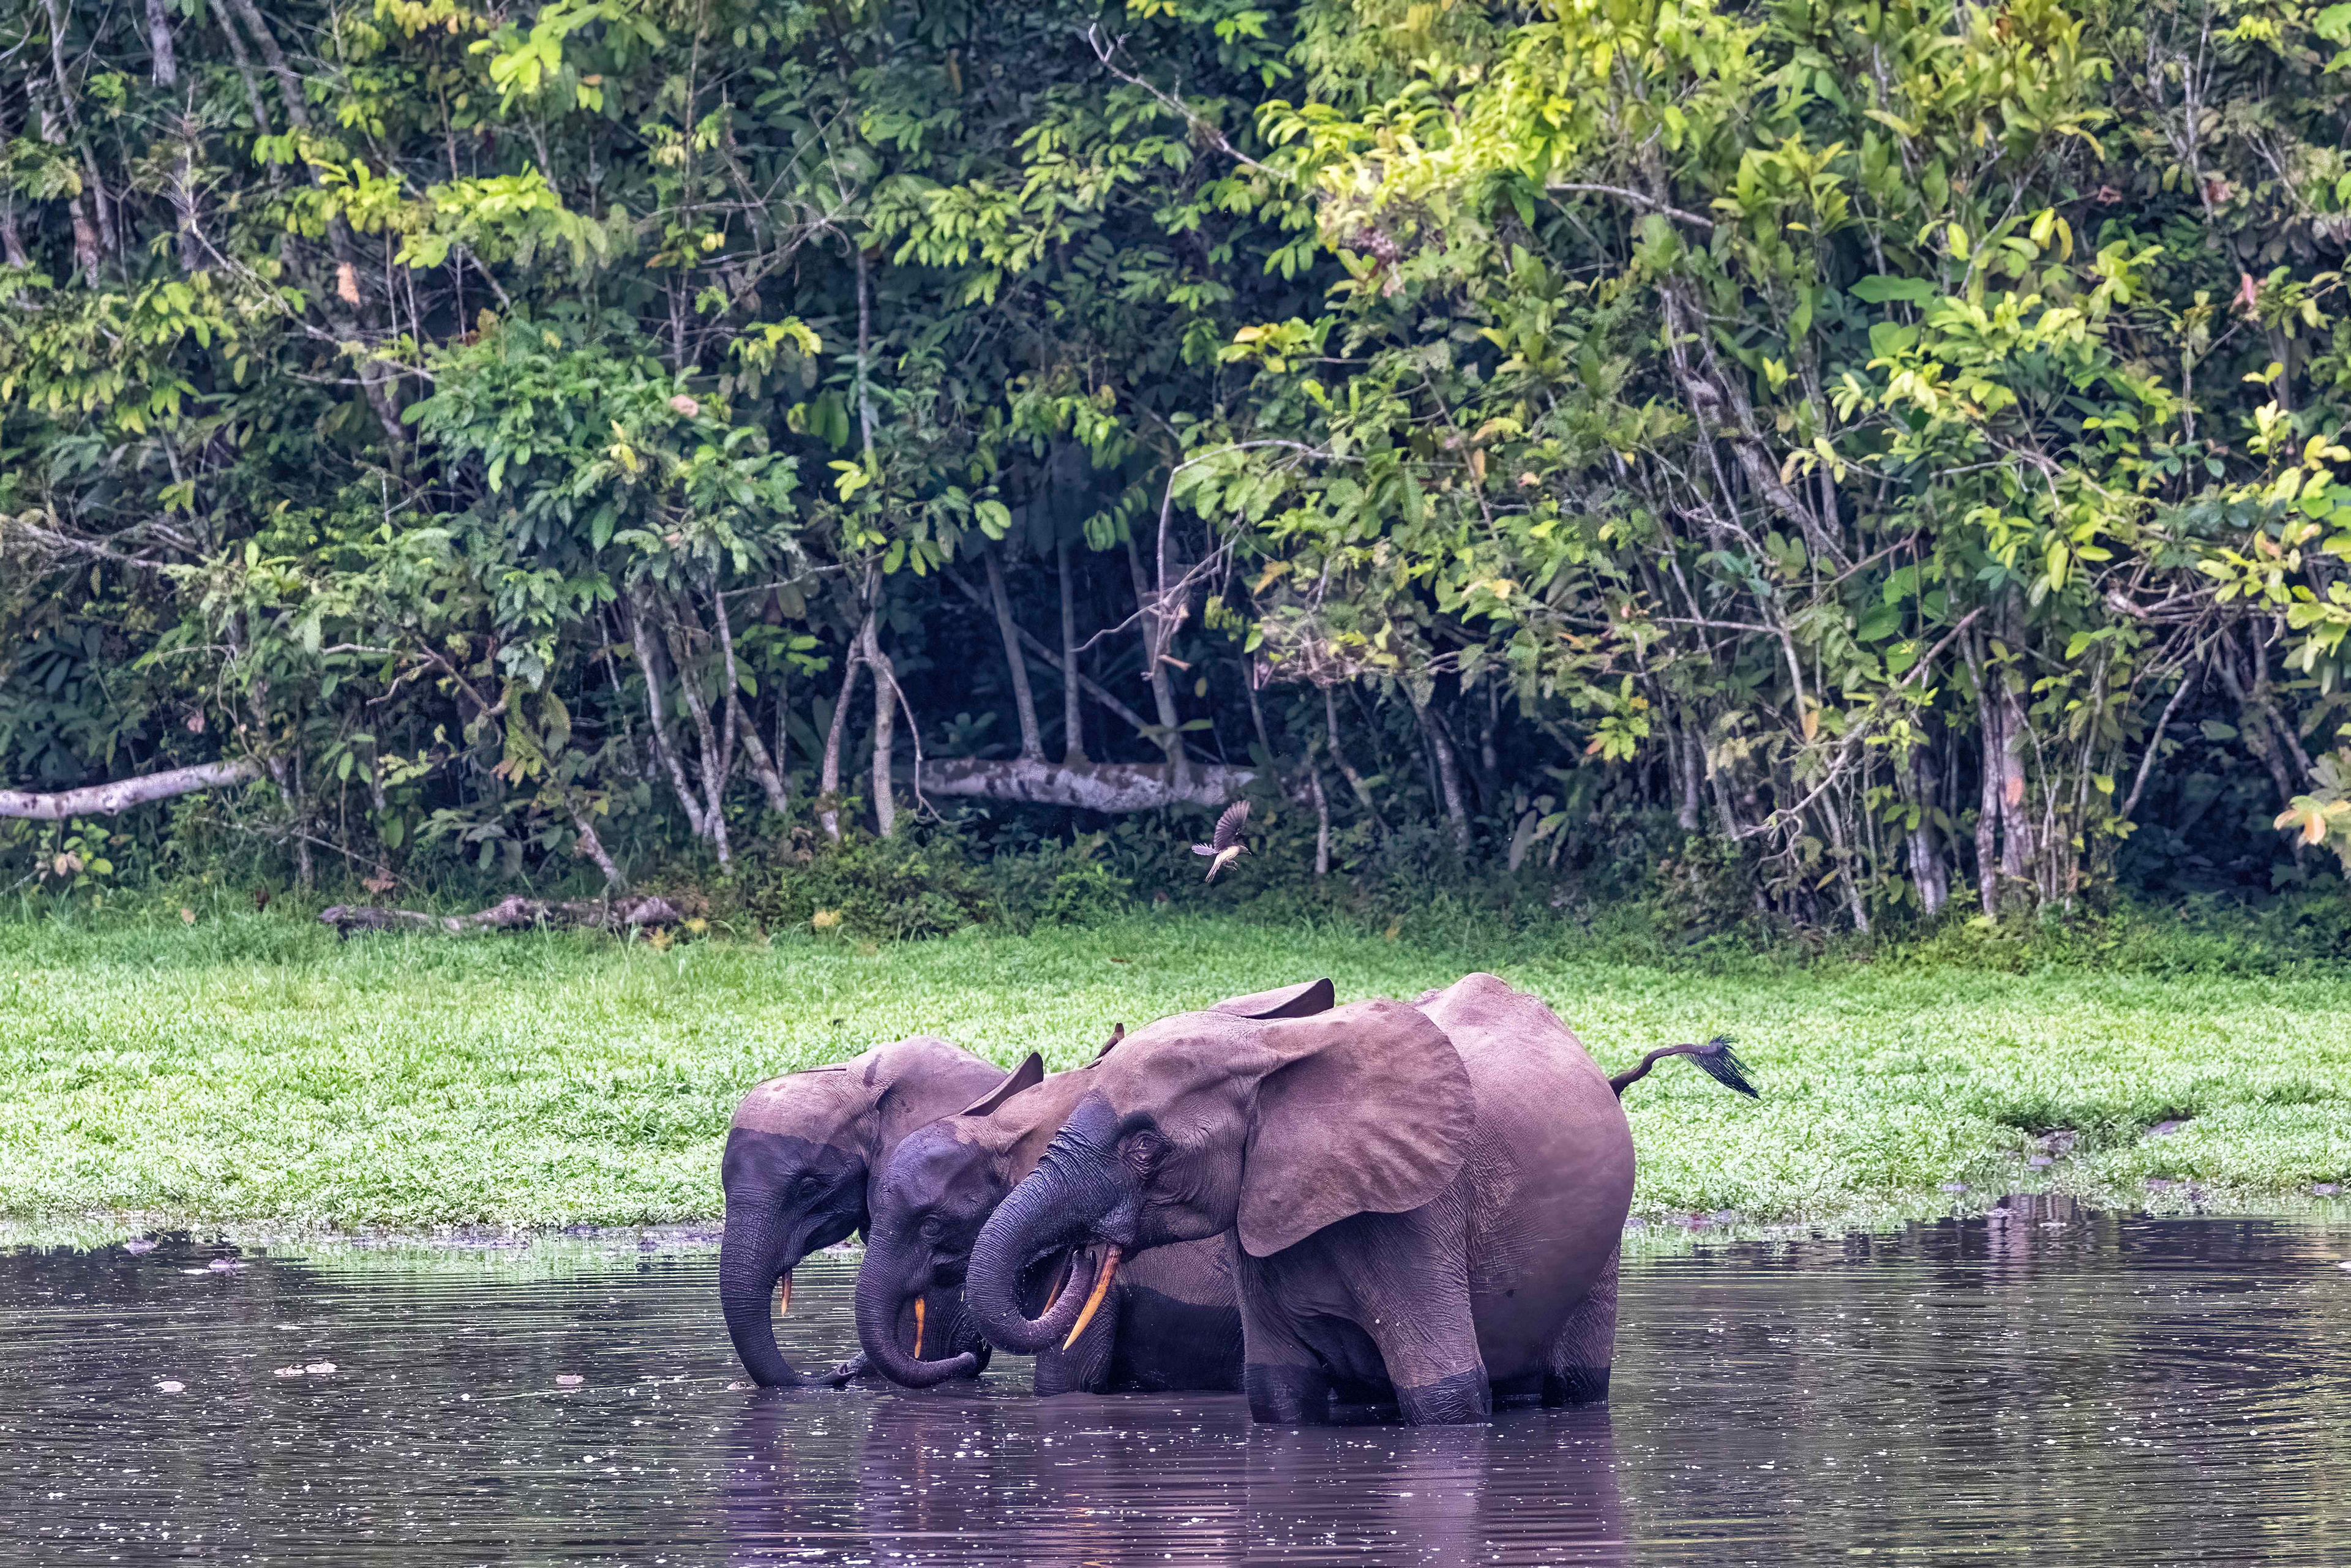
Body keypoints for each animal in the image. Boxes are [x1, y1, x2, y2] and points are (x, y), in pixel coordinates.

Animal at [963, 972, 1741, 1426]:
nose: (1089, 1250)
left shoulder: (1420, 1209)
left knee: (1577, 1381)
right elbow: (1277, 1395)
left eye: (1147, 1145)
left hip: (1604, 1239)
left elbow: (1446, 1396)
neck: (1274, 1049)